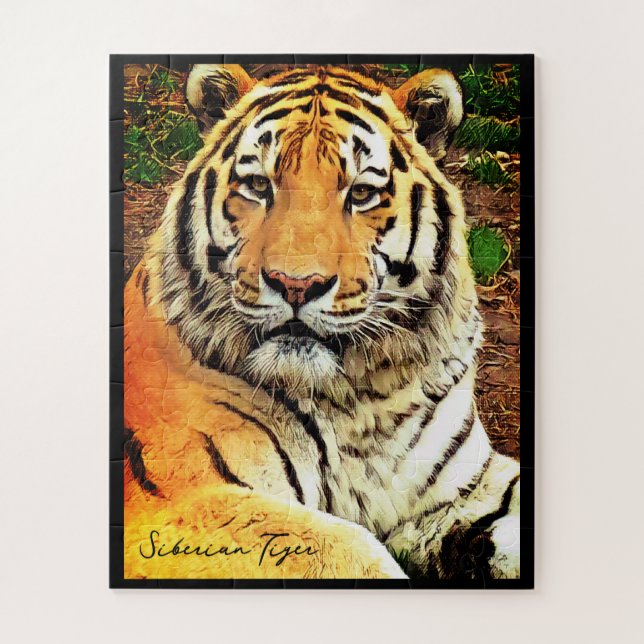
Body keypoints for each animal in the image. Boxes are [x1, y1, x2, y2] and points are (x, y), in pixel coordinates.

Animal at [123, 63, 521, 581]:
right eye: (258, 186)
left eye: (362, 193)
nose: (296, 284)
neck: (361, 398)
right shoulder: (185, 501)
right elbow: (346, 550)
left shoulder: (469, 489)